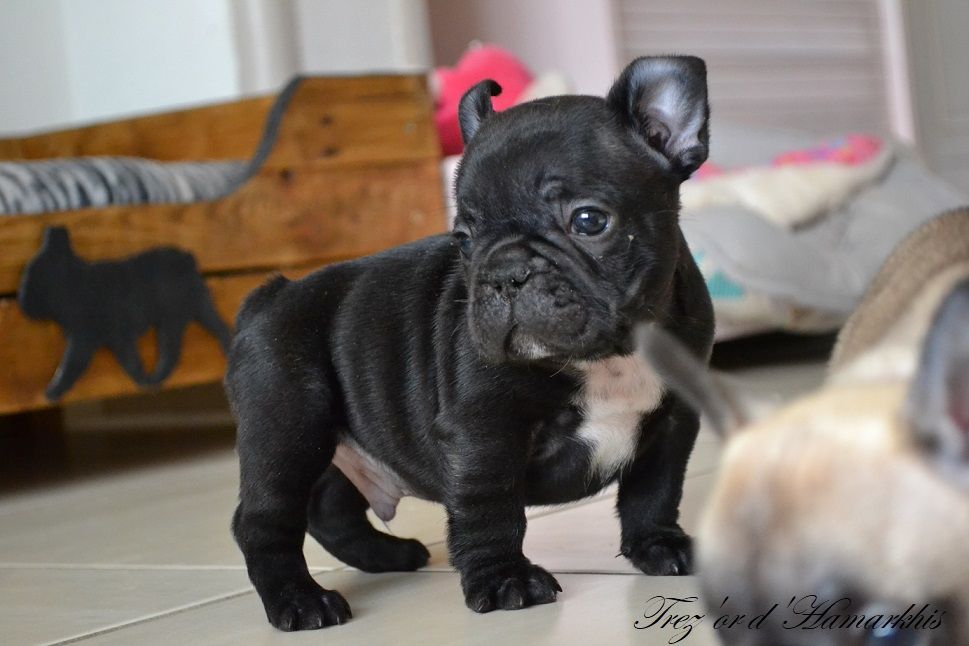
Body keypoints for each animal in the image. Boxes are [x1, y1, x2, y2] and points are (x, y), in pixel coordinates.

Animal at [225, 55, 715, 631]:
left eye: (589, 221)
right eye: (464, 238)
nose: (504, 273)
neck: (609, 356)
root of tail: (271, 295)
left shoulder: (671, 422)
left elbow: (655, 491)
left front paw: (660, 546)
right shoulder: (484, 429)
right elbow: (490, 507)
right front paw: (504, 580)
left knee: (329, 505)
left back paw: (388, 555)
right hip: (290, 427)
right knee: (265, 519)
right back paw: (300, 601)